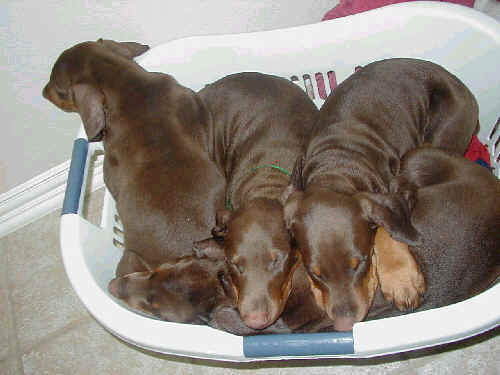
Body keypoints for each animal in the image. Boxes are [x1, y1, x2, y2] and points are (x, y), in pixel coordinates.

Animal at [284, 58, 478, 332]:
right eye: (315, 274)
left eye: (362, 263)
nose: (345, 324)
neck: (336, 167)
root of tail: (457, 81)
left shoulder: (392, 192)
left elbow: (387, 229)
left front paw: (401, 280)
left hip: (444, 133)